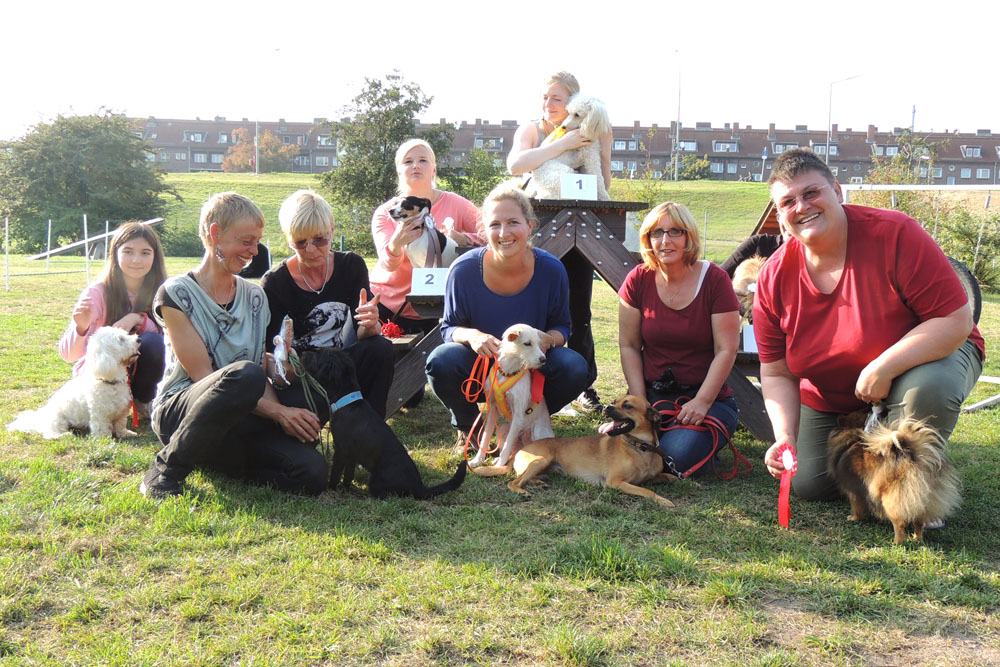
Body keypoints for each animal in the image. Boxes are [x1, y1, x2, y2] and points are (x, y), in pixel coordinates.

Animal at [8, 328, 141, 440]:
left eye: (127, 334)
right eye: (120, 339)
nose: (138, 339)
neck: (109, 380)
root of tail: (41, 416)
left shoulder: (121, 411)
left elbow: (120, 425)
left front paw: (125, 433)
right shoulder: (99, 413)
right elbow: (101, 427)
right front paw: (104, 439)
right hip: (58, 419)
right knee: (50, 433)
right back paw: (64, 435)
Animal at [300, 350, 468, 500]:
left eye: (318, 354)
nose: (302, 353)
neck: (347, 402)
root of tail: (419, 487)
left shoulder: (341, 450)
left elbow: (335, 472)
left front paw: (331, 488)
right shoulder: (352, 454)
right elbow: (348, 474)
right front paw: (346, 488)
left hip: (374, 480)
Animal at [470, 396, 676, 506]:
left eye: (627, 405)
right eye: (614, 401)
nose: (607, 407)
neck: (641, 449)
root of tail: (518, 451)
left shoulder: (649, 476)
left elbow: (666, 476)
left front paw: (673, 479)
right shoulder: (615, 482)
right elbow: (647, 491)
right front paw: (663, 500)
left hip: (543, 466)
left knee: (524, 477)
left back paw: (538, 482)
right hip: (541, 460)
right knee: (514, 481)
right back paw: (523, 491)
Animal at [828, 412, 960, 548]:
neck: (855, 438)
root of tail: (914, 458)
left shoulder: (853, 492)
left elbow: (856, 508)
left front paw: (853, 518)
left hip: (889, 500)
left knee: (899, 523)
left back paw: (897, 542)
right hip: (921, 501)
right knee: (919, 522)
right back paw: (916, 539)